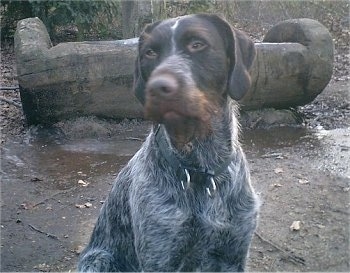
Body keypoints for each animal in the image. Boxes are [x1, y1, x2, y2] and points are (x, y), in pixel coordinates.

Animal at [79, 13, 260, 270]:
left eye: (197, 44)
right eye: (150, 52)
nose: (158, 87)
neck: (201, 170)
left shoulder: (233, 257)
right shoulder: (160, 256)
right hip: (99, 261)